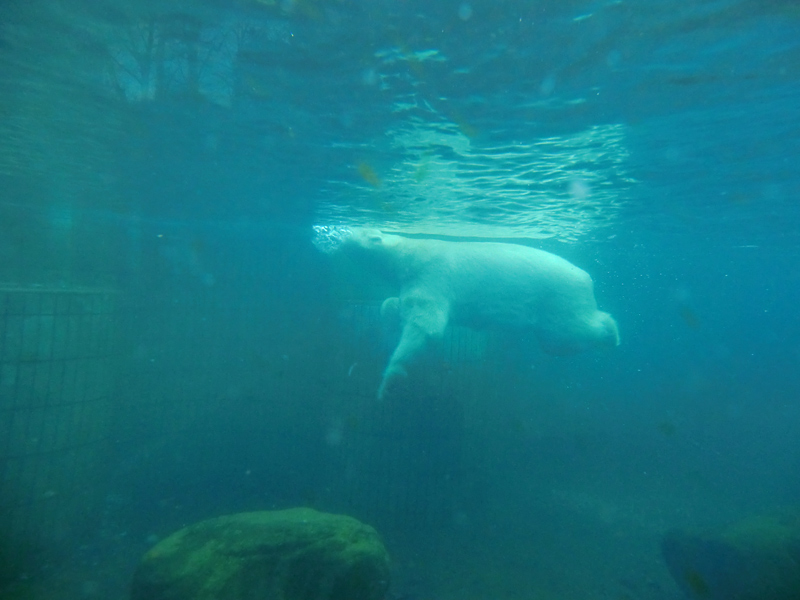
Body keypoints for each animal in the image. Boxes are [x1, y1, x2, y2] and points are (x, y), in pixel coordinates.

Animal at [338, 227, 620, 400]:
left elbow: (427, 327)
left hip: (558, 300)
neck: (412, 253)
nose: (341, 232)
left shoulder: (433, 275)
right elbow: (399, 305)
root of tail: (586, 278)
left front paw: (389, 382)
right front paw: (389, 311)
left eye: (360, 230)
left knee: (571, 334)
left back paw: (612, 333)